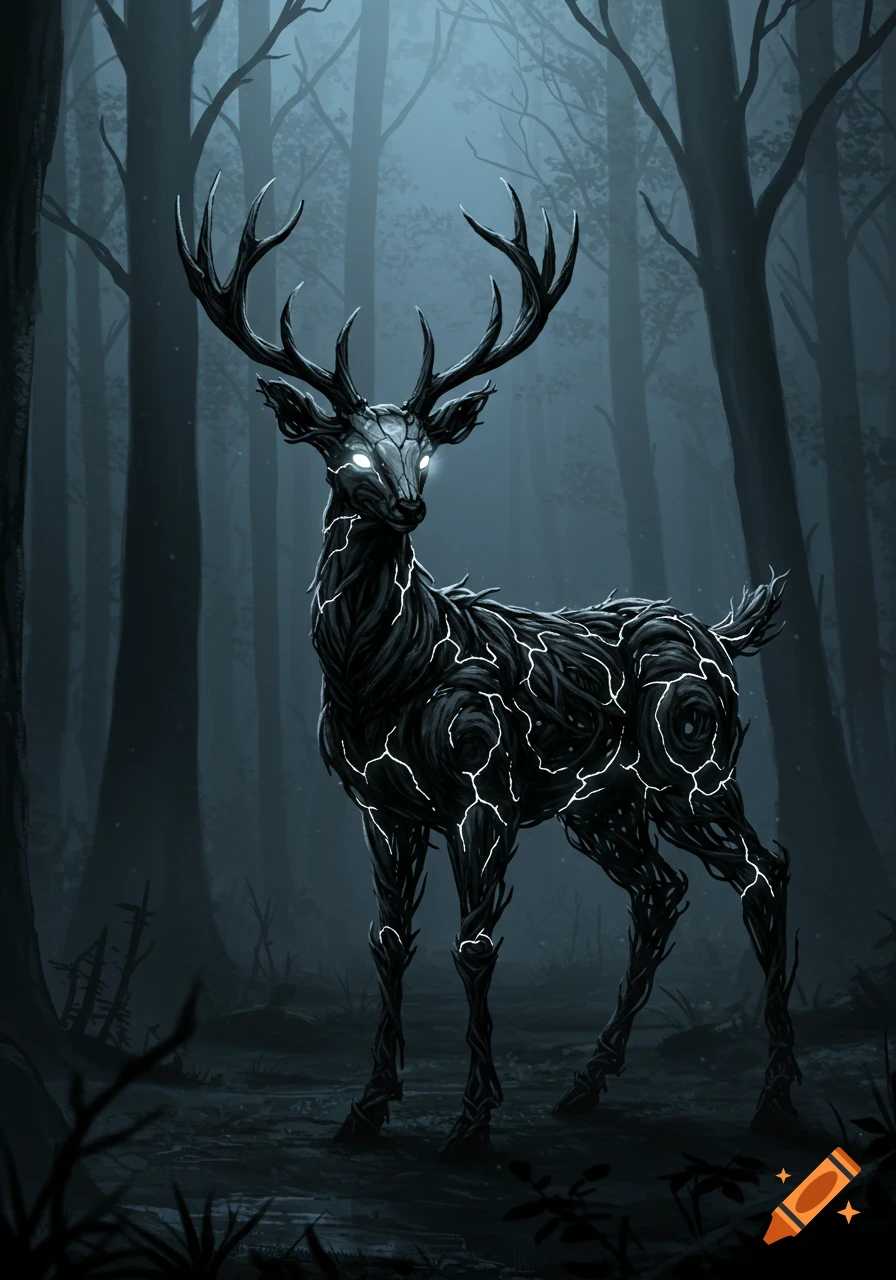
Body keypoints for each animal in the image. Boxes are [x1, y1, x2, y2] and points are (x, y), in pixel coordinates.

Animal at [177, 176, 800, 1161]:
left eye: (425, 449)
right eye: (352, 451)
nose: (410, 503)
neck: (379, 675)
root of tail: (722, 636)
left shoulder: (482, 787)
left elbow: (473, 948)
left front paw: (471, 1120)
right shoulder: (380, 804)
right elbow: (386, 941)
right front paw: (367, 1107)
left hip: (695, 770)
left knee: (763, 872)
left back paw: (774, 1096)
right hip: (603, 806)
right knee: (660, 893)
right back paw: (586, 1085)